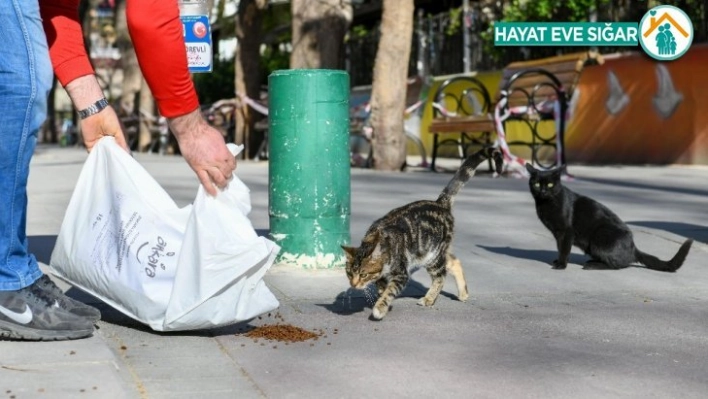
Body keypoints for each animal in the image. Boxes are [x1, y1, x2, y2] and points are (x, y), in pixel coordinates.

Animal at [342, 148, 504, 320]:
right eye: (349, 273)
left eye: (363, 274)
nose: (353, 284)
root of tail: (440, 203)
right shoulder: (383, 276)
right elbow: (381, 287)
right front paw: (381, 297)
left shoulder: (401, 274)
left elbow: (389, 291)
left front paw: (380, 307)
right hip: (434, 253)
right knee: (454, 262)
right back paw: (462, 293)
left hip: (433, 256)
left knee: (441, 276)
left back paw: (429, 299)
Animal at [524, 164, 692, 274]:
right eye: (537, 184)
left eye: (550, 184)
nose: (543, 191)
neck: (545, 203)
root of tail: (633, 247)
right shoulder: (558, 233)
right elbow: (560, 247)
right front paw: (558, 261)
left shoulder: (566, 231)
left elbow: (564, 249)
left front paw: (561, 265)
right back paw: (592, 262)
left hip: (600, 236)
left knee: (618, 265)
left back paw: (591, 266)